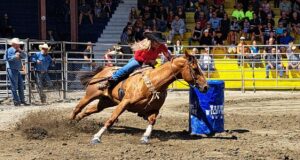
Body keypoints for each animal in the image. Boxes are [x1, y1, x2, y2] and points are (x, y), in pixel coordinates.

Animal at [69, 52, 209, 144]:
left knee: (88, 111)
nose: (206, 86)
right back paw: (69, 123)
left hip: (106, 102)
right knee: (78, 108)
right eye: (195, 69)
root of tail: (104, 70)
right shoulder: (124, 103)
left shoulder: (153, 110)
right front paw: (96, 137)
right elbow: (111, 119)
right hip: (90, 95)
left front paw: (145, 137)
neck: (154, 83)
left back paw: (77, 122)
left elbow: (152, 121)